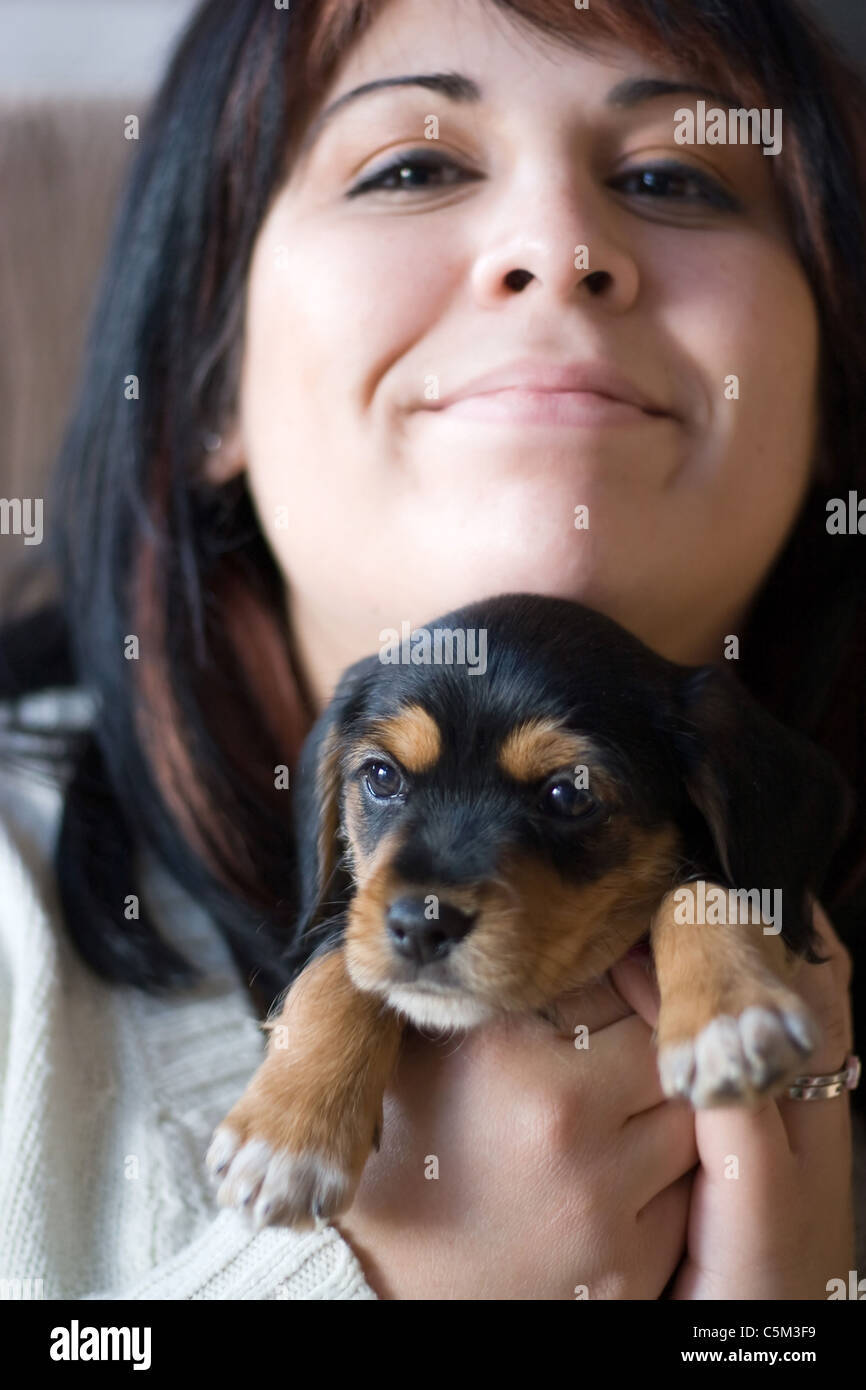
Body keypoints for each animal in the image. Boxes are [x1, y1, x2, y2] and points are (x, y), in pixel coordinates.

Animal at [208, 586, 856, 1228]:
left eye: (568, 794)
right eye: (382, 776)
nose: (422, 925)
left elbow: (696, 893)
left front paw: (729, 1015)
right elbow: (336, 961)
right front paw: (287, 1136)